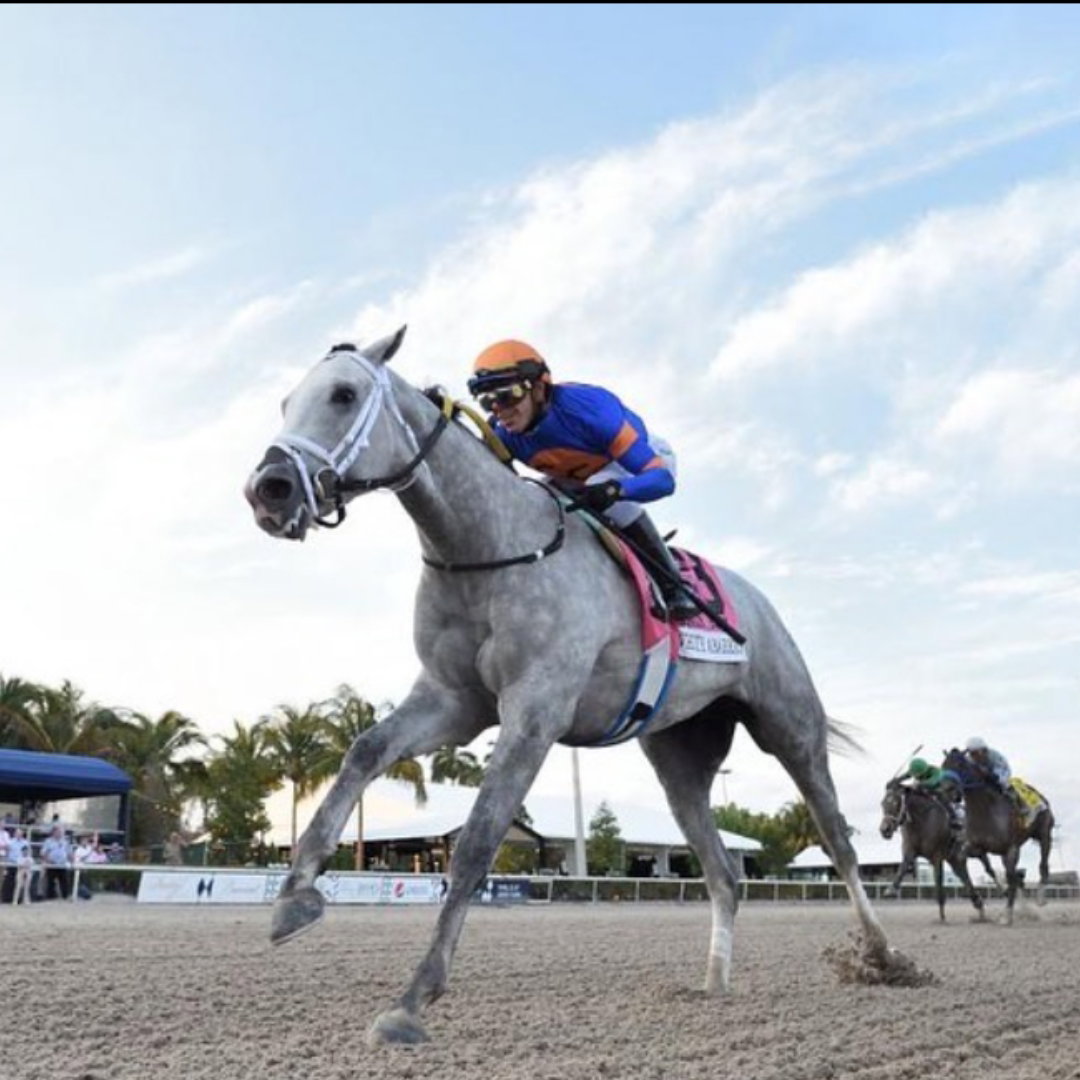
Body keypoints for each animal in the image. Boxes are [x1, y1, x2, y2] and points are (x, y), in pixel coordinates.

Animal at [243, 328, 897, 1045]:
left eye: (343, 394)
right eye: (284, 402)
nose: (268, 488)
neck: (487, 549)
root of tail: (756, 599)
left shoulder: (535, 710)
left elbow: (477, 841)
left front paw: (413, 998)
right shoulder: (452, 701)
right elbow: (363, 751)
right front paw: (295, 897)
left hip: (789, 722)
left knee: (837, 838)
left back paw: (884, 956)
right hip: (679, 756)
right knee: (725, 874)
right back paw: (714, 983)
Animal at [878, 779, 992, 921]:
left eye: (895, 802)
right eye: (882, 803)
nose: (884, 830)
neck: (922, 820)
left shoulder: (937, 855)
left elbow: (938, 881)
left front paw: (942, 915)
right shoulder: (910, 850)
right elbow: (903, 867)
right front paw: (891, 889)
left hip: (977, 851)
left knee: (989, 868)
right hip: (956, 859)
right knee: (965, 877)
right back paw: (979, 905)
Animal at [941, 748, 1054, 923]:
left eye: (960, 764)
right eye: (943, 766)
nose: (947, 790)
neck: (986, 810)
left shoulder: (1012, 848)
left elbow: (1010, 876)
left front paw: (1007, 914)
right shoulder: (975, 847)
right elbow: (962, 865)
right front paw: (978, 902)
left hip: (1044, 833)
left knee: (1043, 864)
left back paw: (1040, 897)